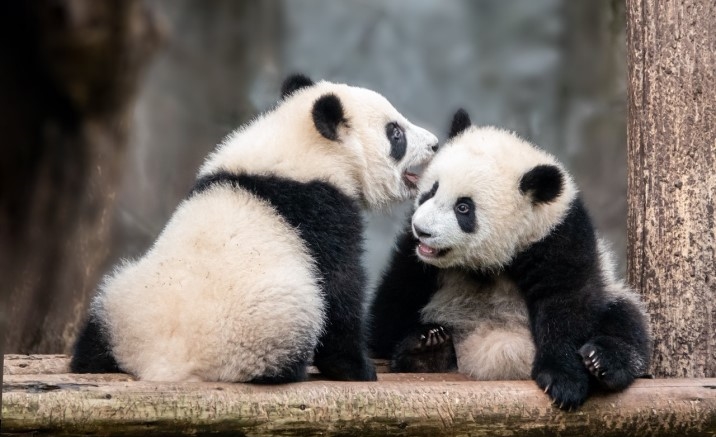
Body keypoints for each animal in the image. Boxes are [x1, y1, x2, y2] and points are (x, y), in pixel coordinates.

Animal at [70, 74, 439, 383]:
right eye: (395, 133)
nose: (435, 143)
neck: (303, 147)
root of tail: (163, 365)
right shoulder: (321, 211)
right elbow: (339, 286)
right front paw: (356, 369)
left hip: (123, 300)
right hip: (265, 323)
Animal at [369, 109, 652, 409]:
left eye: (463, 208)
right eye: (431, 191)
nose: (422, 230)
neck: (487, 263)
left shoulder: (558, 237)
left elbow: (567, 303)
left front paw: (564, 382)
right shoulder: (414, 259)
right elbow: (389, 310)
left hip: (612, 291)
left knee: (626, 318)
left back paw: (602, 360)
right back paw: (428, 351)